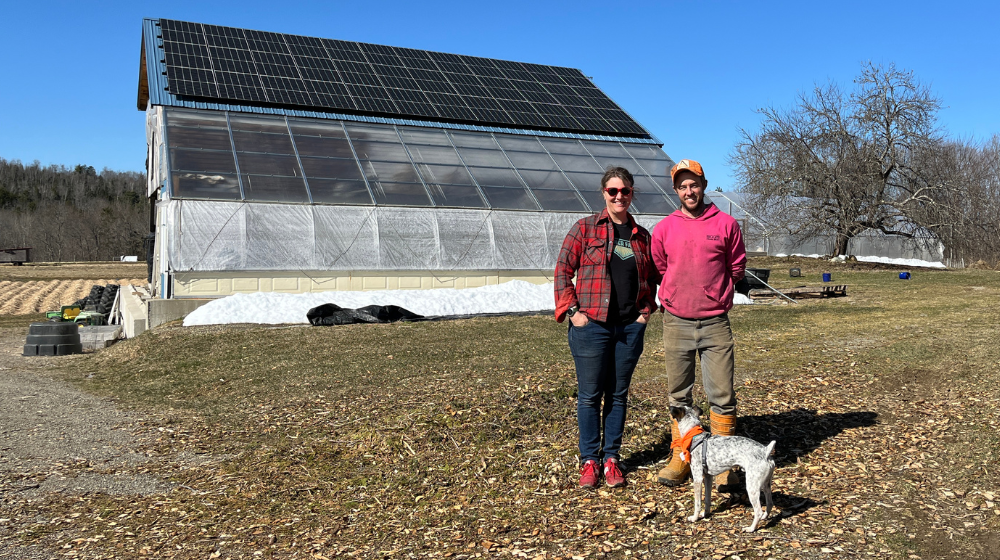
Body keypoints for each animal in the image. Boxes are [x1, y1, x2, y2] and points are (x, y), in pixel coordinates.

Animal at [676, 404, 776, 532]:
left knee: (758, 511)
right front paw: (705, 514)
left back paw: (751, 528)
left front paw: (695, 518)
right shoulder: (708, 478)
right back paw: (765, 517)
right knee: (770, 503)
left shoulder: (697, 478)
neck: (694, 436)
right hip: (766, 484)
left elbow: (697, 503)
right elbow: (707, 500)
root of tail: (765, 452)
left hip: (752, 487)